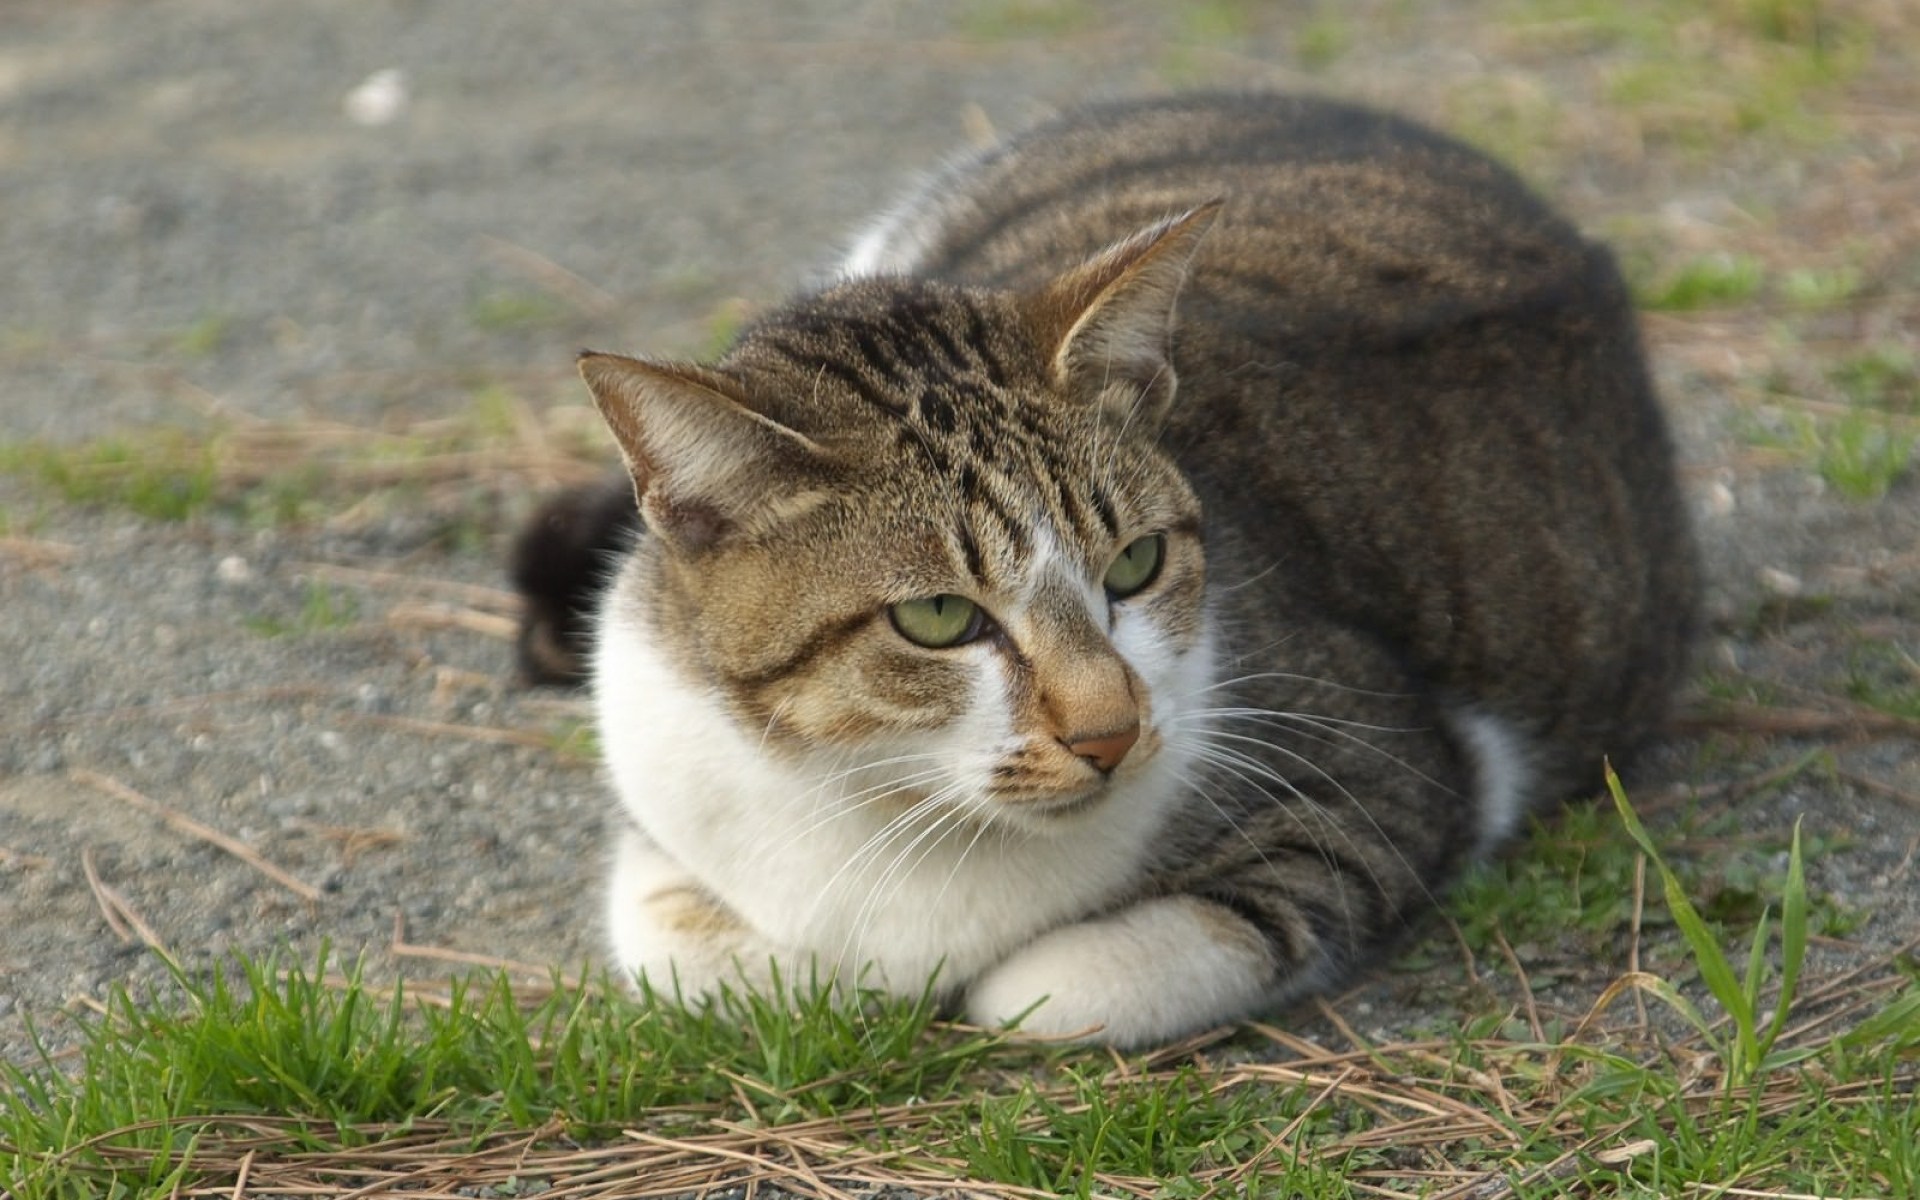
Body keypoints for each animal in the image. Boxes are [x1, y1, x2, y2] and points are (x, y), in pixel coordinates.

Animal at [506, 93, 1697, 1044]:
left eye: (1137, 563)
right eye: (937, 618)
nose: (1111, 732)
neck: (884, 803)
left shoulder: (1394, 780)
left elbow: (1070, 985)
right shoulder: (659, 755)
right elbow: (691, 948)